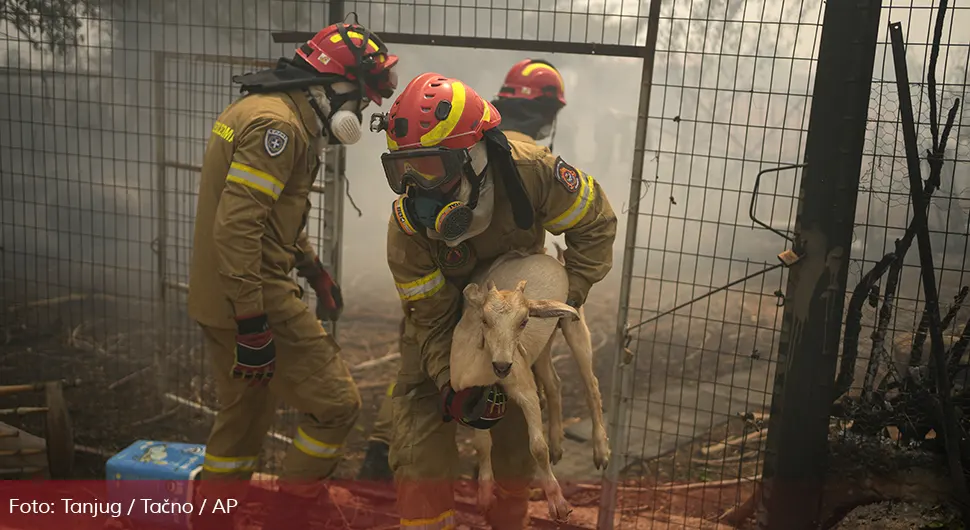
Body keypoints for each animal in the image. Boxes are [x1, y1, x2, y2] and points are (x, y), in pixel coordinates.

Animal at [450, 245, 608, 516]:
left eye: (523, 321)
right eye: (485, 320)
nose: (503, 365)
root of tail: (550, 257)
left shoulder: (525, 388)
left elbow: (537, 447)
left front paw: (559, 505)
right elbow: (482, 445)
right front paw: (484, 498)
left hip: (574, 323)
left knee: (592, 385)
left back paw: (600, 451)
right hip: (544, 344)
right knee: (554, 382)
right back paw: (557, 444)